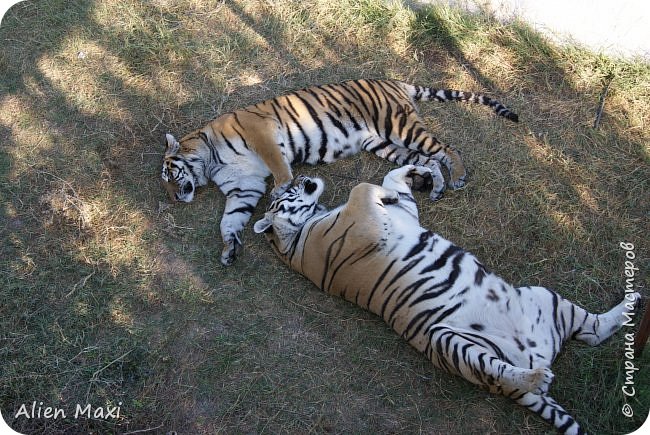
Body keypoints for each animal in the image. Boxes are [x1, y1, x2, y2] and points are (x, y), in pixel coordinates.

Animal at [159, 78, 512, 266]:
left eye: (168, 176)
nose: (174, 199)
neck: (210, 162)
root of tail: (393, 81)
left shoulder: (261, 134)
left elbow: (279, 169)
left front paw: (285, 189)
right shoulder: (243, 187)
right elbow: (229, 219)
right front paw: (229, 248)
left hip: (400, 127)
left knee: (446, 149)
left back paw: (459, 176)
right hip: (383, 144)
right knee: (429, 160)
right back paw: (435, 186)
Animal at [252, 165, 636, 434]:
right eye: (286, 190)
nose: (303, 178)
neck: (297, 234)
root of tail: (536, 355)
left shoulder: (401, 212)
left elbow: (391, 178)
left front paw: (423, 173)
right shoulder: (364, 220)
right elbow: (362, 186)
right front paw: (406, 182)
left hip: (544, 297)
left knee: (594, 330)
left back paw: (633, 300)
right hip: (450, 341)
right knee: (508, 370)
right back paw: (539, 377)